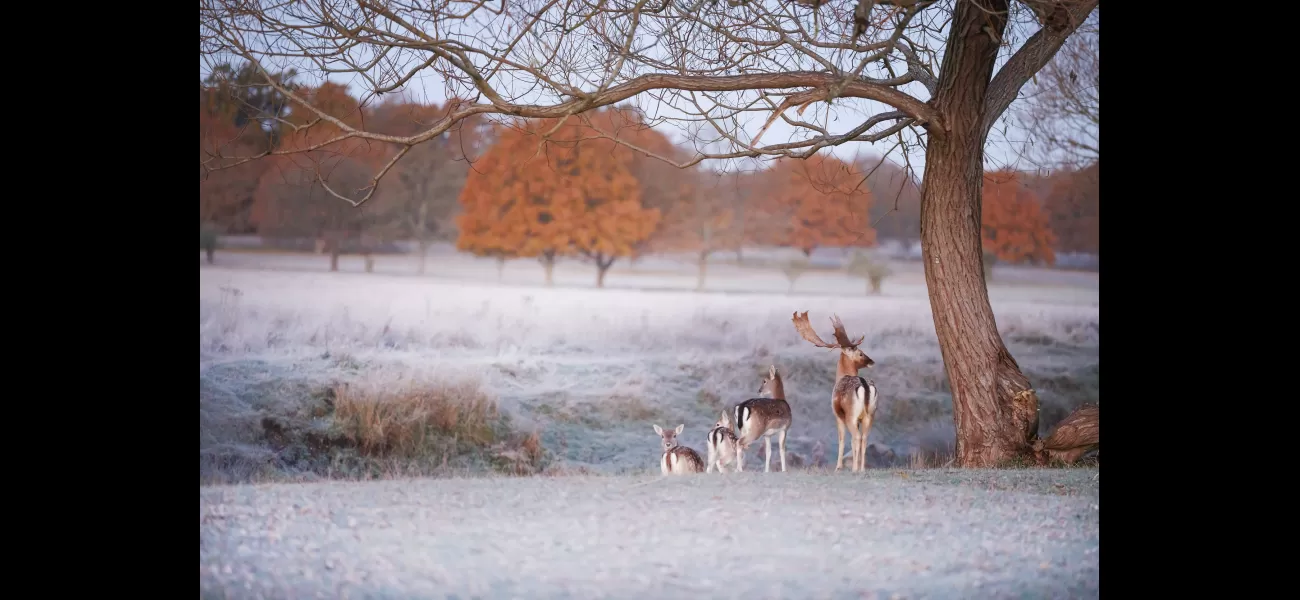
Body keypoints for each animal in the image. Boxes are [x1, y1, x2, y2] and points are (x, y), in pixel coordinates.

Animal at [785, 309, 878, 472]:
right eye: (860, 353)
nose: (871, 361)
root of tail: (865, 386)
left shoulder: (837, 414)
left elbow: (842, 439)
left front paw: (838, 466)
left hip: (851, 415)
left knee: (856, 437)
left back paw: (855, 468)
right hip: (870, 414)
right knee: (864, 437)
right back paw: (861, 468)